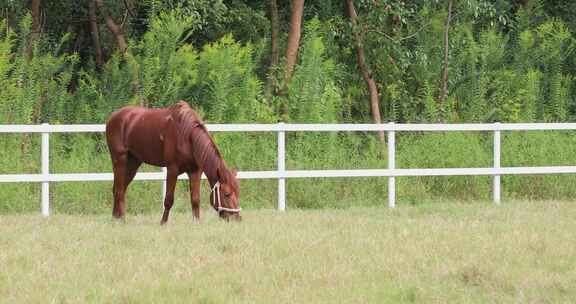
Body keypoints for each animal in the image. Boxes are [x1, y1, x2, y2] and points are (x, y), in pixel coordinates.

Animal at [106, 101, 241, 222]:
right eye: (227, 194)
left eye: (238, 192)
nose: (237, 218)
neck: (188, 135)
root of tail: (113, 117)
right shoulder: (172, 169)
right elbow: (168, 200)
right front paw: (163, 223)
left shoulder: (195, 171)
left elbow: (195, 200)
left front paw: (196, 222)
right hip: (120, 160)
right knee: (119, 190)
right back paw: (121, 220)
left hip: (133, 163)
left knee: (120, 189)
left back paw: (116, 218)